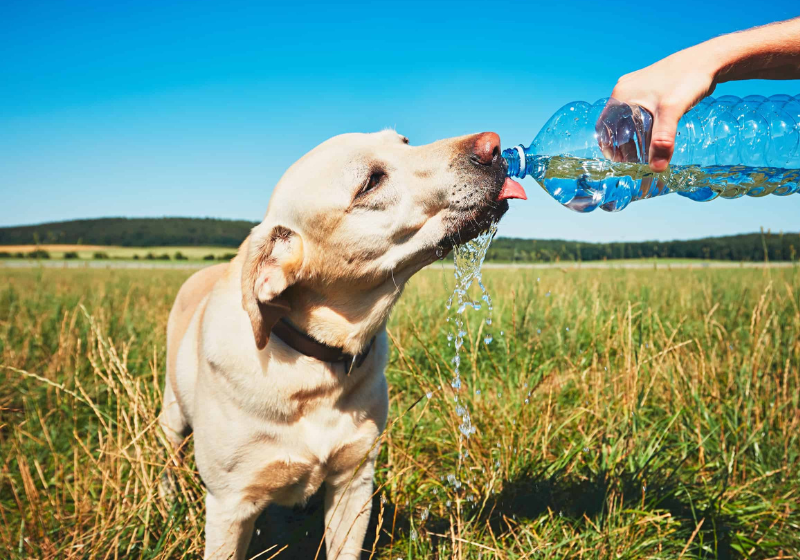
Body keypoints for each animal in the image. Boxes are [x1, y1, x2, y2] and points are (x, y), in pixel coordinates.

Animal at [161, 129, 524, 556]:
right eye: (370, 182)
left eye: (404, 141)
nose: (494, 145)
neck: (315, 366)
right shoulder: (229, 505)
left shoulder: (354, 482)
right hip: (171, 415)